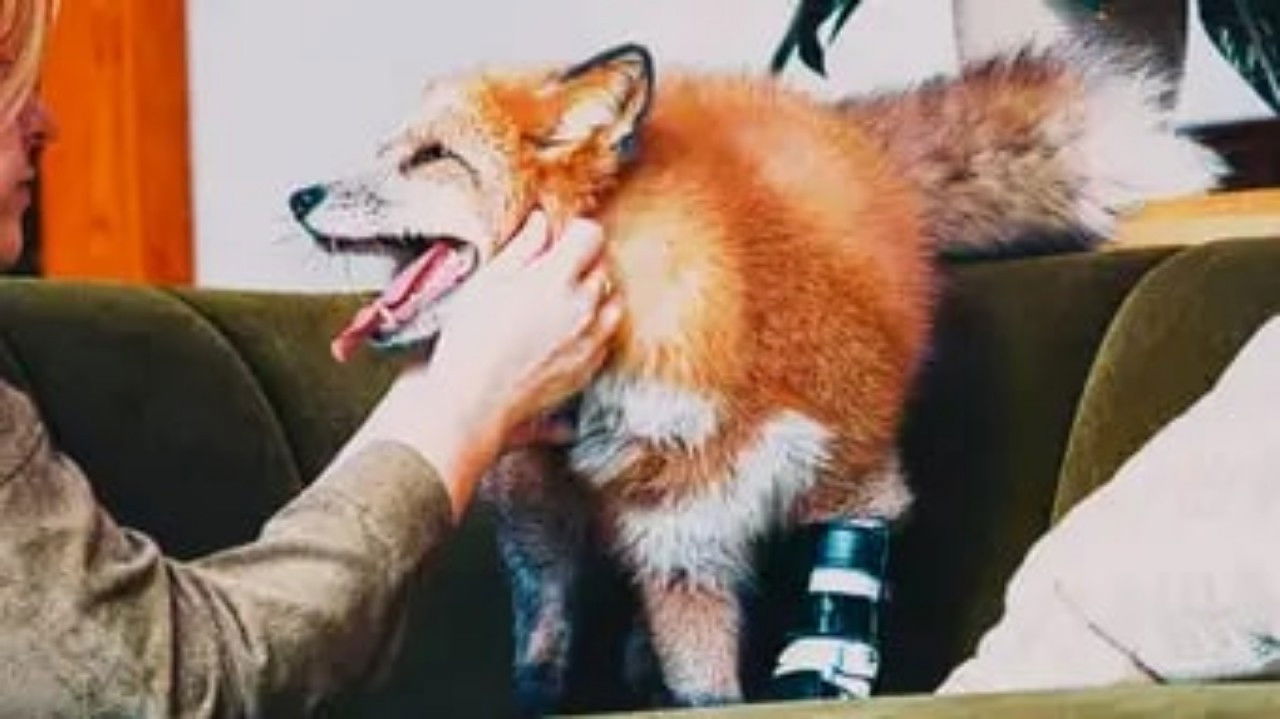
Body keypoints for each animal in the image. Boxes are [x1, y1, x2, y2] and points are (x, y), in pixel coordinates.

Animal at [288, 37, 1223, 714]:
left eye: (431, 157)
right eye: (387, 152)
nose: (298, 196)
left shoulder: (847, 474)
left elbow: (833, 586)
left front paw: (823, 672)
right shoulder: (679, 538)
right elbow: (703, 685)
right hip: (540, 523)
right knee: (548, 630)